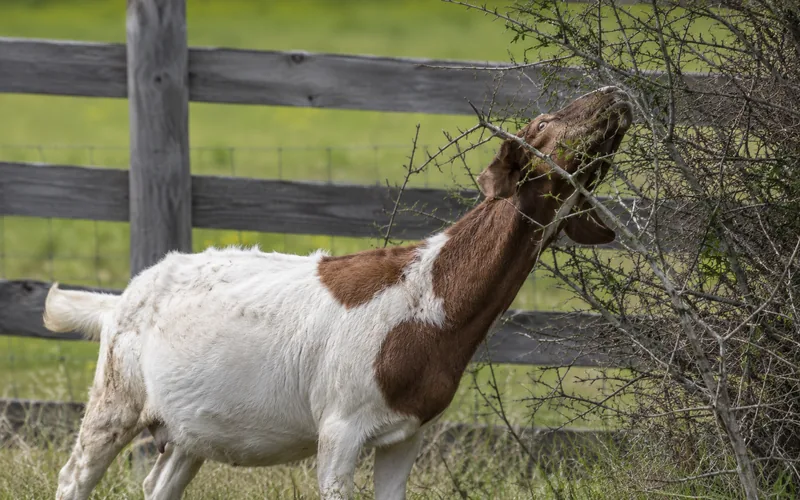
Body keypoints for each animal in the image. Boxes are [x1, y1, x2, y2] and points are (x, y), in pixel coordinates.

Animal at [44, 86, 632, 500]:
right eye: (545, 124)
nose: (614, 93)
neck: (430, 305)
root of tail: (117, 301)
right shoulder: (340, 427)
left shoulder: (408, 432)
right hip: (115, 393)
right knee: (74, 474)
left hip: (191, 425)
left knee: (159, 483)